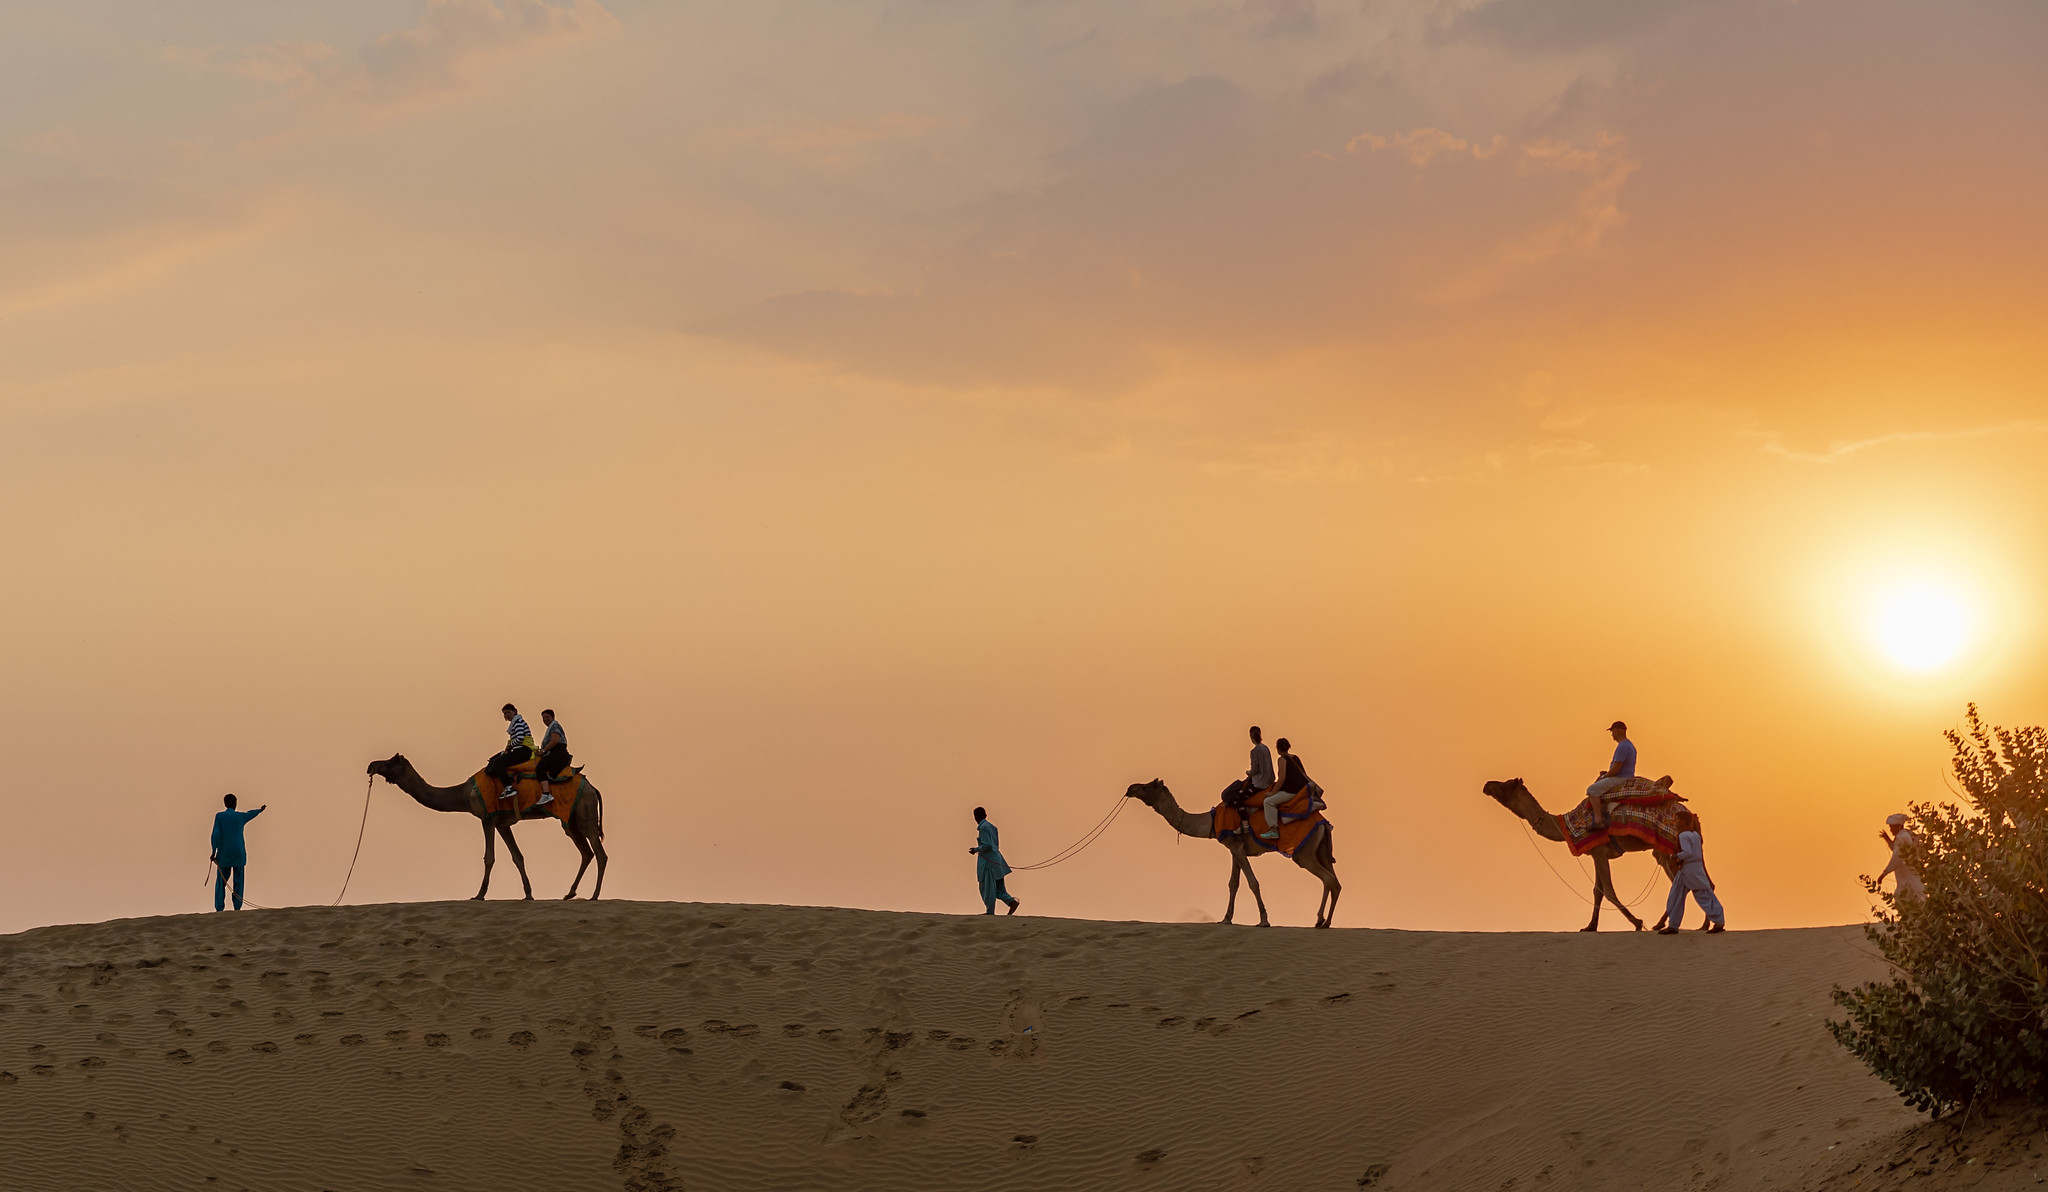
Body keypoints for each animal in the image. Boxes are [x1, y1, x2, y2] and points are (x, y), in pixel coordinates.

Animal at [367, 754, 608, 901]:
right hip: (571, 820)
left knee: (599, 853)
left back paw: (595, 895)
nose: (371, 766)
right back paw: (570, 893)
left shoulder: (487, 818)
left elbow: (489, 857)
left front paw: (479, 894)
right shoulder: (502, 823)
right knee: (586, 852)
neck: (465, 793)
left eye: (390, 761)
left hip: (584, 812)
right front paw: (528, 894)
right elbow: (517, 856)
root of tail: (592, 788)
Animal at [1124, 780, 1342, 928]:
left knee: (1328, 879)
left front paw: (1264, 920)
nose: (1131, 788)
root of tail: (1323, 822)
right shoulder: (1235, 848)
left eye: (1149, 786)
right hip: (1321, 850)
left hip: (1303, 853)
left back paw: (1321, 921)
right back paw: (1324, 922)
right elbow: (1233, 884)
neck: (1212, 822)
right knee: (1334, 882)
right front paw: (1226, 919)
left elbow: (1253, 882)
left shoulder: (1236, 848)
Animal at [1481, 777, 1677, 932]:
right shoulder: (1597, 854)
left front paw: (1637, 922)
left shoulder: (1600, 852)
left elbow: (1608, 891)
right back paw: (1662, 924)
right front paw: (1590, 926)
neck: (1566, 826)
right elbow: (1597, 891)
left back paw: (1663, 924)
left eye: (1505, 784)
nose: (1487, 785)